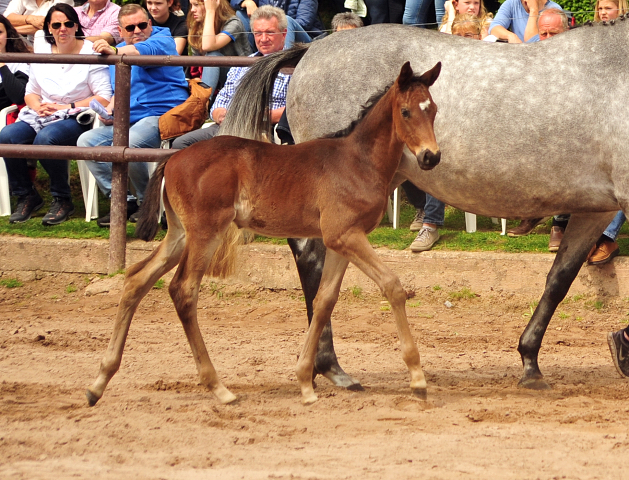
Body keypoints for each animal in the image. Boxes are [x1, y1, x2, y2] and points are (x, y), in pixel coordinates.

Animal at [86, 60, 442, 404]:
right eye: (406, 111)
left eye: (434, 109)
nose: (431, 156)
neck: (358, 161)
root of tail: (173, 159)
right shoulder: (345, 235)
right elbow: (392, 286)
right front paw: (418, 379)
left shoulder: (340, 239)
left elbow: (324, 300)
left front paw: (306, 381)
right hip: (205, 233)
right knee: (183, 290)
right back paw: (219, 388)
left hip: (179, 234)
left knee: (137, 278)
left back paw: (99, 382)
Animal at [221, 20, 624, 392]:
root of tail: (311, 49)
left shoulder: (598, 208)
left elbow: (559, 279)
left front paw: (531, 362)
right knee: (312, 259)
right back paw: (329, 367)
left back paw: (325, 367)